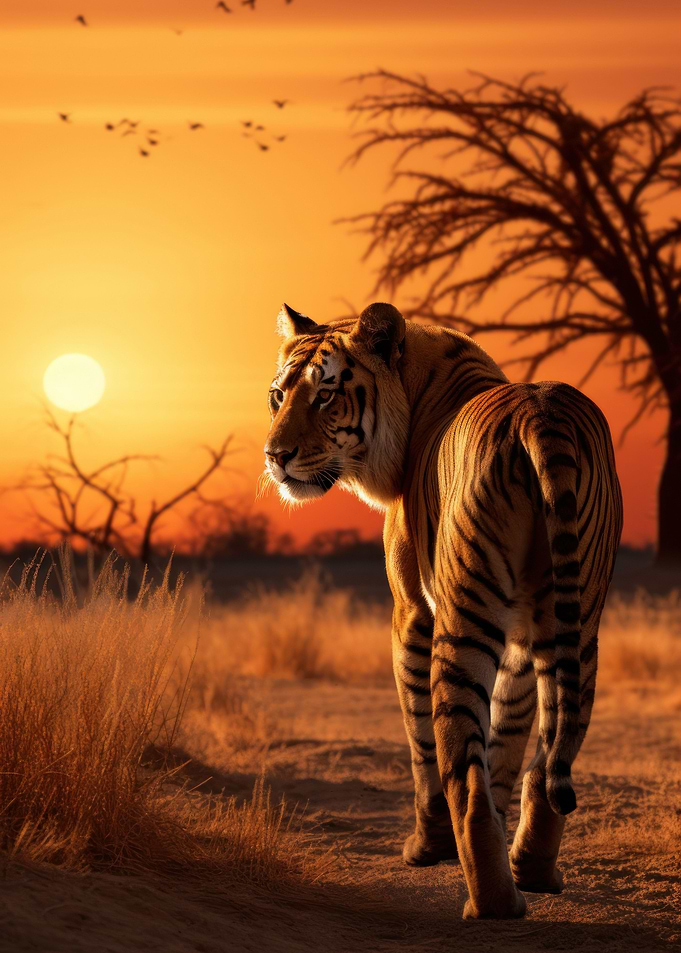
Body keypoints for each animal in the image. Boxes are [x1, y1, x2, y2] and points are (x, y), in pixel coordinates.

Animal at [264, 301, 622, 920]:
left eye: (325, 395)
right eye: (277, 397)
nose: (275, 457)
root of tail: (542, 412)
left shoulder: (411, 613)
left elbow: (423, 746)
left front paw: (430, 847)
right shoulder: (521, 640)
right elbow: (508, 740)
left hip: (461, 624)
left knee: (462, 772)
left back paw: (491, 901)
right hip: (578, 622)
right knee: (550, 754)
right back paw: (532, 870)